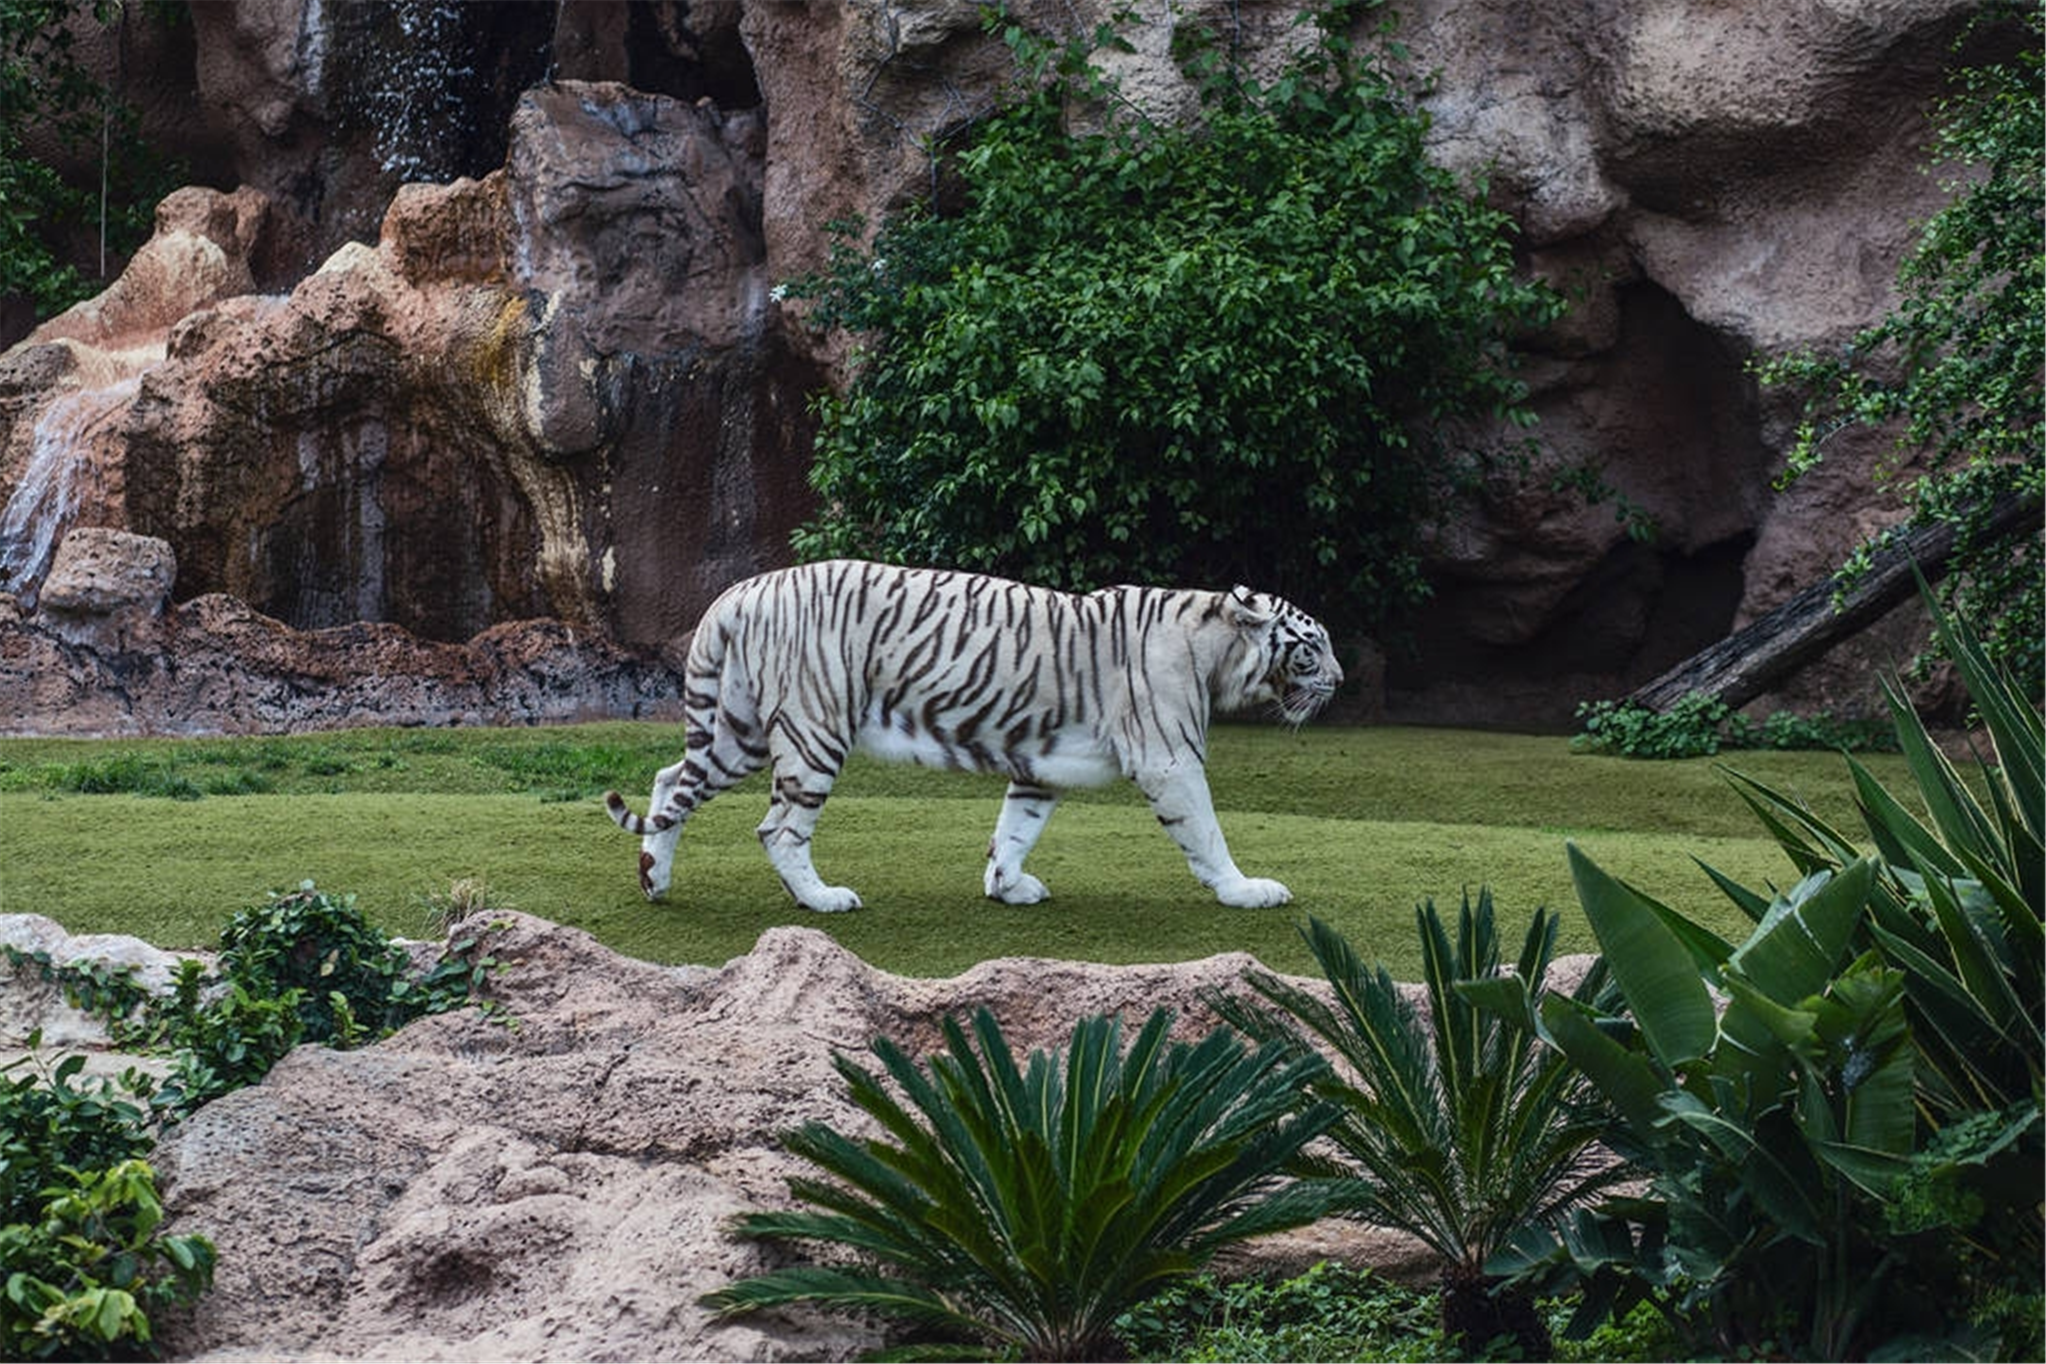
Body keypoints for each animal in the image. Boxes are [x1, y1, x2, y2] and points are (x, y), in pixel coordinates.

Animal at [605, 560, 1342, 912]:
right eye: (1312, 647)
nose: (1339, 680)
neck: (1214, 640)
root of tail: (736, 593)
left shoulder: (1041, 765)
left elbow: (1015, 830)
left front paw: (1006, 886)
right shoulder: (1170, 760)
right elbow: (1208, 834)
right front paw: (1245, 890)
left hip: (740, 731)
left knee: (670, 782)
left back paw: (652, 880)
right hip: (813, 732)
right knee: (778, 830)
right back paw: (821, 899)